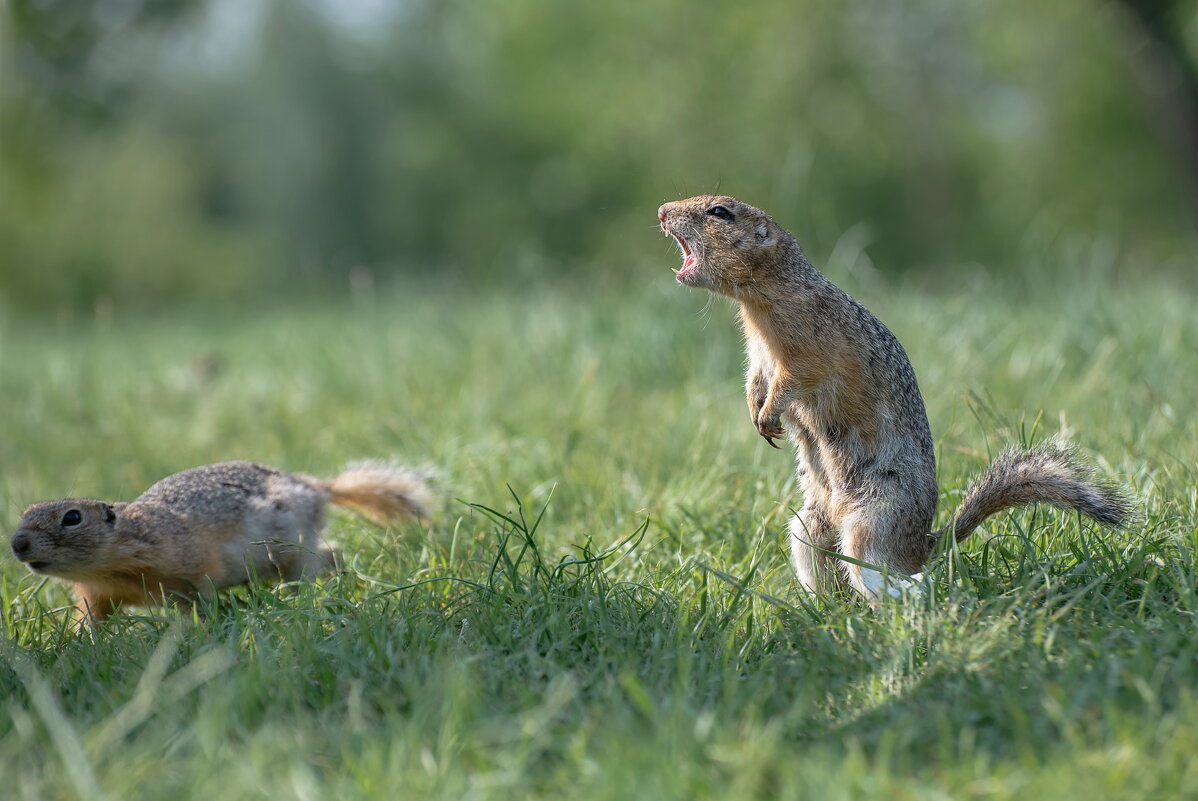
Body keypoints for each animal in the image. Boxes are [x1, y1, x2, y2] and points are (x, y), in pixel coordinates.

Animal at [10, 459, 436, 622]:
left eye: (72, 517)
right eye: (26, 510)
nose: (16, 544)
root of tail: (316, 486)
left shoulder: (192, 566)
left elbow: (200, 597)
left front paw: (200, 629)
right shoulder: (97, 595)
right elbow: (92, 620)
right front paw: (81, 642)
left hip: (293, 548)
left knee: (318, 562)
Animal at [661, 195, 1126, 598]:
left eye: (720, 212)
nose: (663, 210)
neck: (760, 298)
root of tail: (925, 543)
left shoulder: (806, 347)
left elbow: (792, 381)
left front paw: (769, 414)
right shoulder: (757, 357)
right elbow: (754, 380)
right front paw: (754, 412)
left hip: (873, 519)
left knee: (882, 572)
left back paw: (904, 594)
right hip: (809, 527)